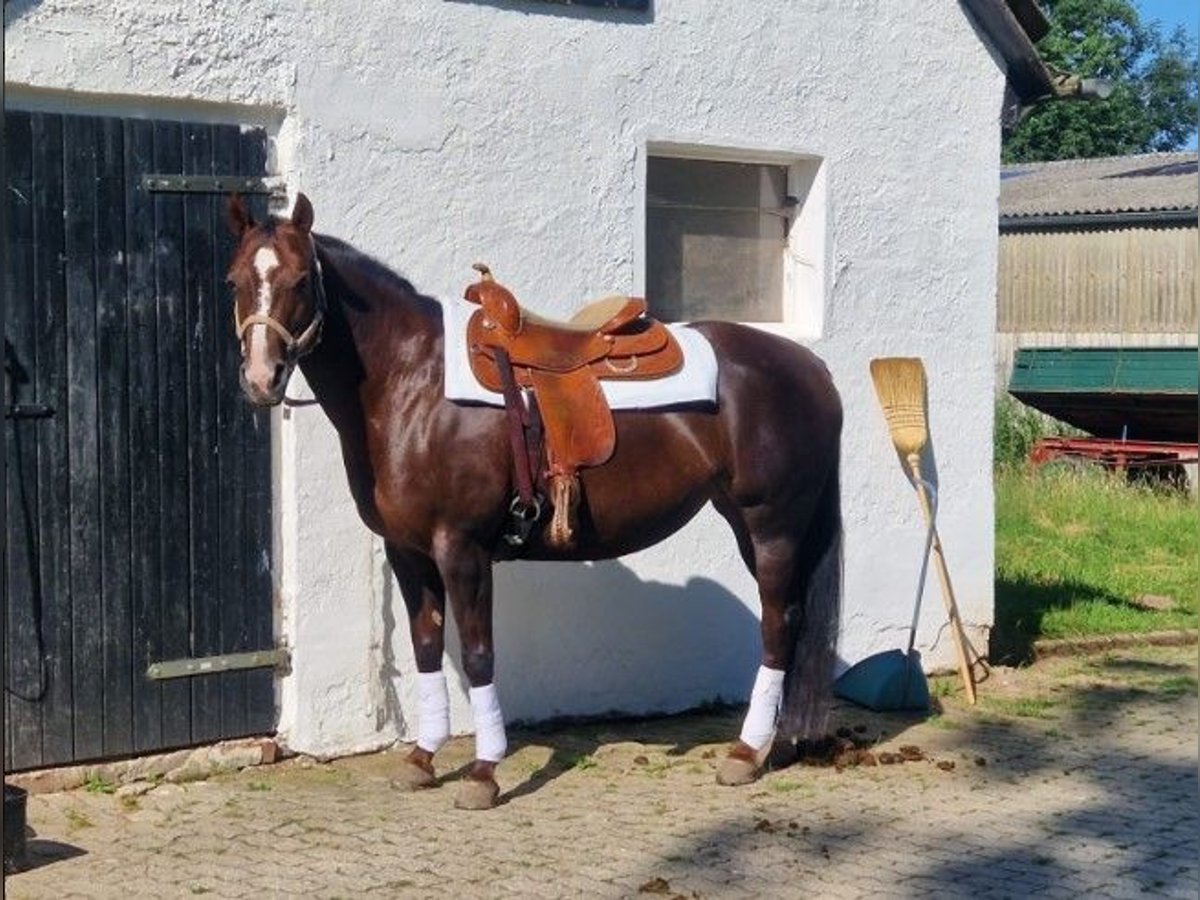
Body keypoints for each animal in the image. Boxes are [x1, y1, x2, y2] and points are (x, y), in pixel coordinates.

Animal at [226, 195, 844, 811]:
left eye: (301, 279)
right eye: (235, 279)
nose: (261, 378)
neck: (412, 382)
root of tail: (813, 368)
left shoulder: (462, 547)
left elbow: (479, 652)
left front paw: (483, 772)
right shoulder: (408, 551)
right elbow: (426, 646)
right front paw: (423, 759)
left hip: (772, 525)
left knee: (779, 622)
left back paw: (746, 752)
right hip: (747, 522)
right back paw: (779, 744)